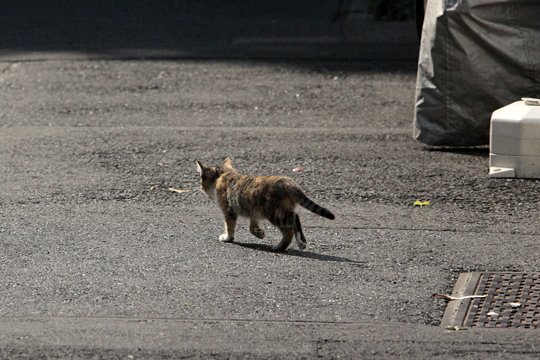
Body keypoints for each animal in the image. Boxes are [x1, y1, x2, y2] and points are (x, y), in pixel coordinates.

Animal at [196, 159, 336, 252]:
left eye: (201, 180)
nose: (200, 187)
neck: (224, 174)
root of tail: (287, 182)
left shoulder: (228, 210)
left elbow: (229, 226)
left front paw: (227, 237)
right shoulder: (253, 209)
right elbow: (252, 226)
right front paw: (259, 233)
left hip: (275, 213)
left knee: (292, 225)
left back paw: (284, 246)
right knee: (294, 220)